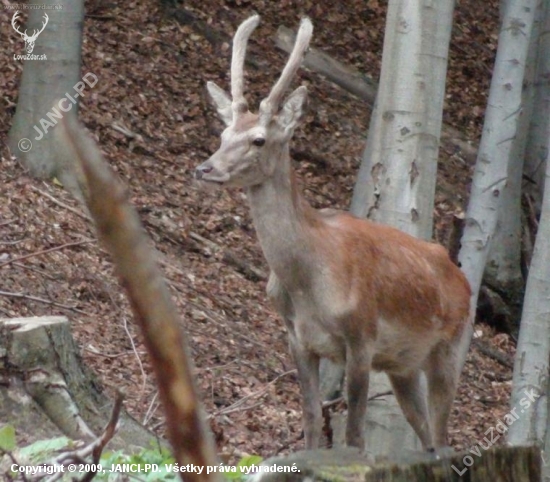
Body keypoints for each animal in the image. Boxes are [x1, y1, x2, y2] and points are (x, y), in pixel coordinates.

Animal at [194, 15, 470, 452]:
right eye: (223, 136)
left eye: (259, 139)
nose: (205, 168)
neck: (308, 281)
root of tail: (462, 278)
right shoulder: (298, 339)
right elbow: (309, 421)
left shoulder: (361, 337)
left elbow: (354, 437)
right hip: (403, 365)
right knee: (426, 436)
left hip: (450, 348)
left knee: (444, 440)